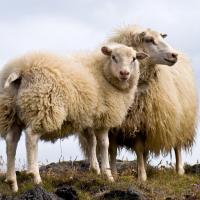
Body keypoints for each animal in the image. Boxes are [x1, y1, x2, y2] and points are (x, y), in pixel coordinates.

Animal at [0, 44, 147, 191]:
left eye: (134, 59)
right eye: (113, 57)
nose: (124, 73)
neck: (103, 72)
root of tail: (21, 69)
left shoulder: (87, 118)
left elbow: (91, 141)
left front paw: (95, 169)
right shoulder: (104, 119)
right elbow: (104, 144)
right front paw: (108, 175)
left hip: (11, 112)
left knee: (11, 140)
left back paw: (13, 183)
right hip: (43, 107)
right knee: (31, 137)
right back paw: (35, 177)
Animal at [79, 25, 198, 181]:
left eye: (161, 37)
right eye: (149, 40)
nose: (174, 55)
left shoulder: (142, 123)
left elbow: (139, 149)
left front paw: (142, 177)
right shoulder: (116, 125)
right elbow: (112, 149)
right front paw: (115, 174)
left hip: (181, 122)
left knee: (177, 145)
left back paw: (179, 170)